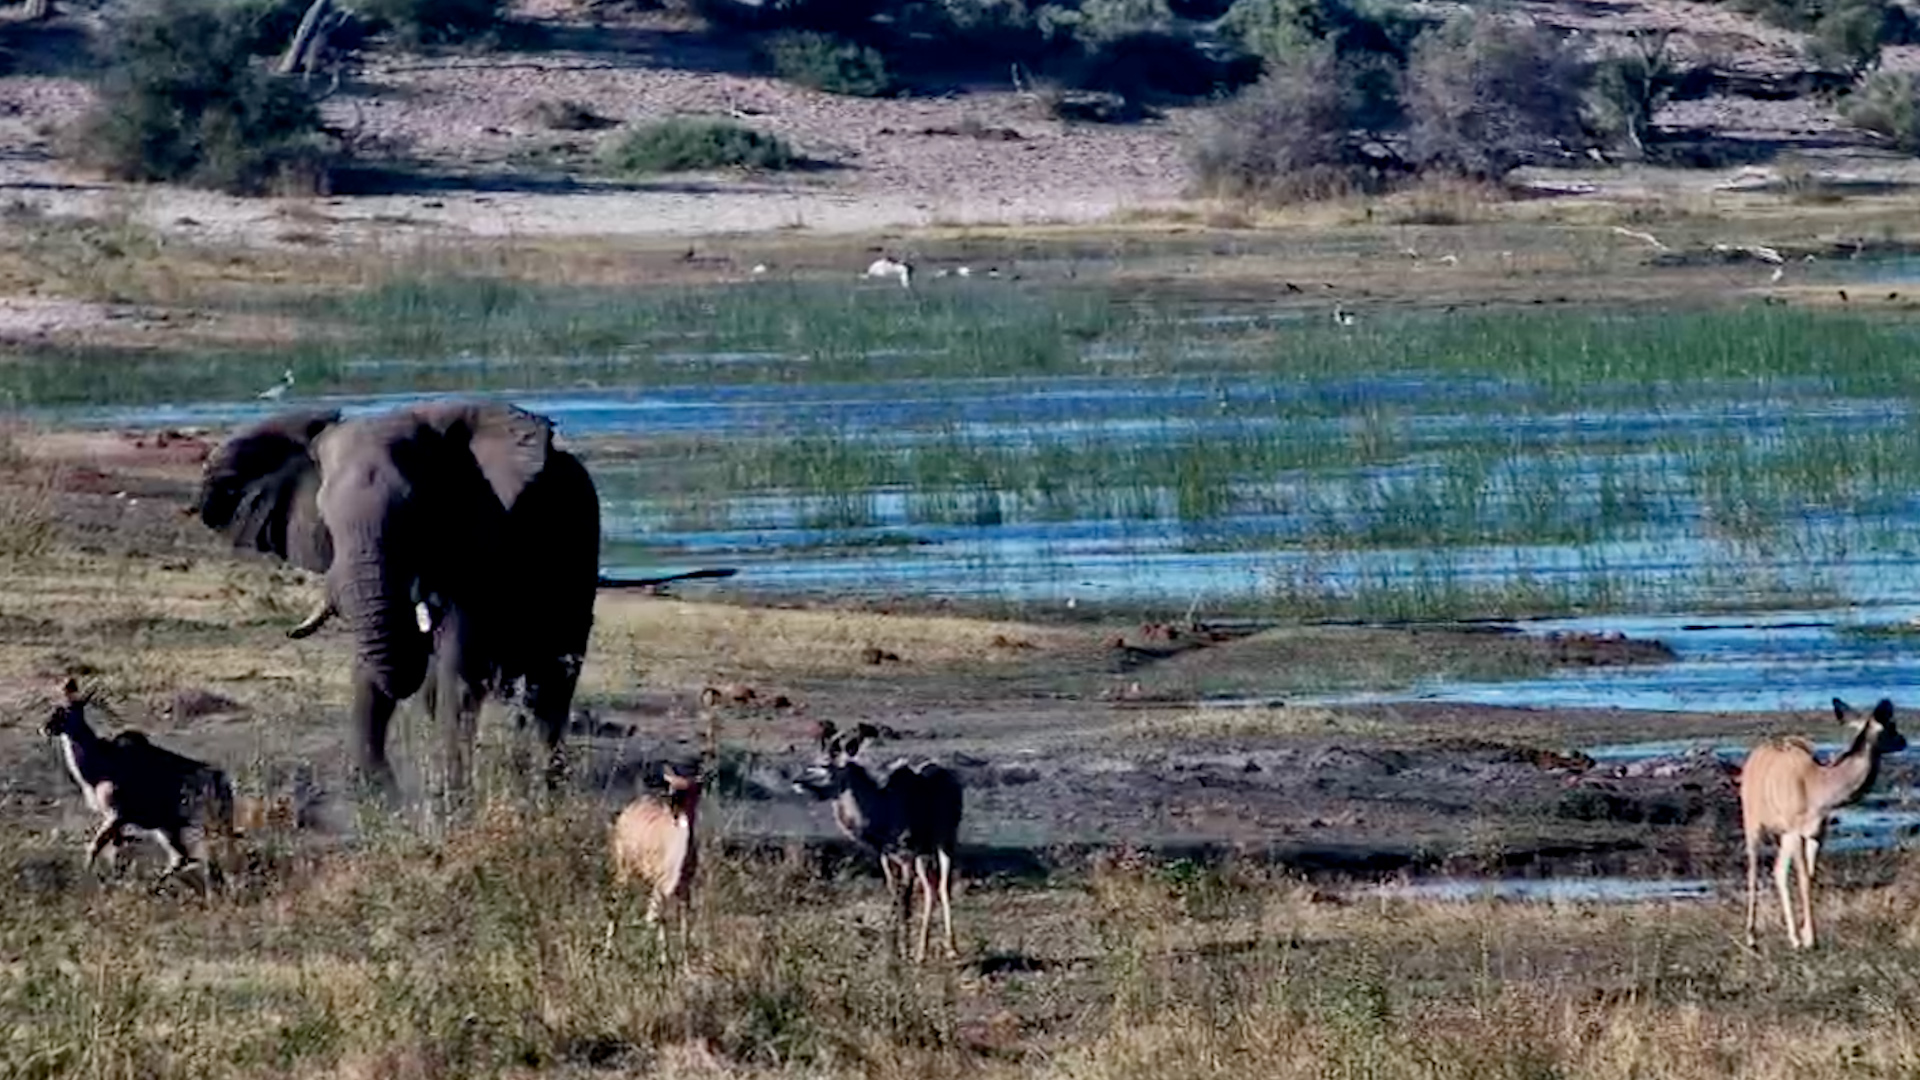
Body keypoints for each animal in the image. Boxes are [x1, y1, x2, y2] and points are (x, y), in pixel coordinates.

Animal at [193, 401, 732, 797]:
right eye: (324, 519)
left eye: (413, 510)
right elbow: (377, 665)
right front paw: (377, 794)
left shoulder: (478, 535)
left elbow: (458, 659)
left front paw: (446, 792)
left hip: (580, 542)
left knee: (552, 680)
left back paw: (545, 783)